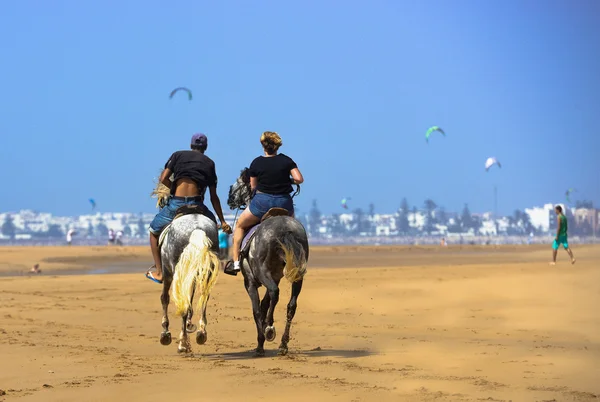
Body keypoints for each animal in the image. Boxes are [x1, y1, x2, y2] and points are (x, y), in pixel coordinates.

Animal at [226, 168, 310, 356]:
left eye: (238, 182)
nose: (230, 198)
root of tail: (285, 229)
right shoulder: (275, 276)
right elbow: (265, 304)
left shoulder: (250, 282)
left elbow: (257, 309)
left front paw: (261, 341)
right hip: (297, 274)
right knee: (291, 305)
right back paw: (283, 344)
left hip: (262, 272)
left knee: (274, 292)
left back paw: (270, 330)